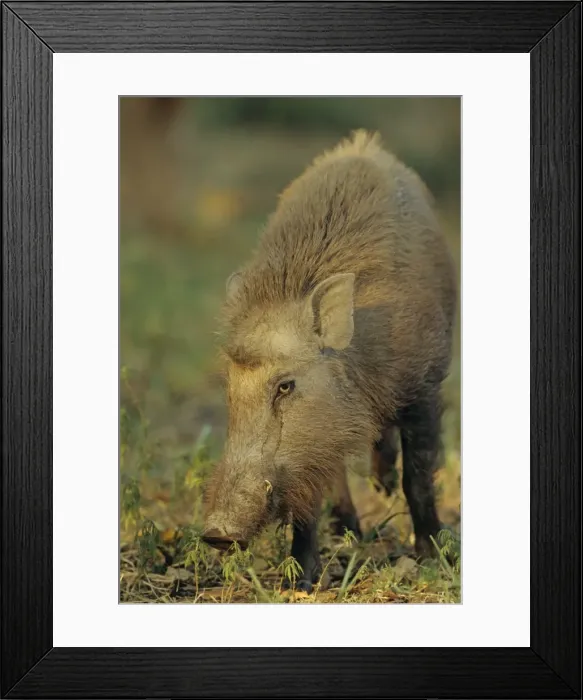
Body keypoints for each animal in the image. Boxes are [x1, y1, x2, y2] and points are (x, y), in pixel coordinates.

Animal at [203, 130, 457, 592]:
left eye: (286, 385)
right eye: (229, 388)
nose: (217, 532)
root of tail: (363, 143)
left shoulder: (425, 386)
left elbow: (418, 476)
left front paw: (432, 558)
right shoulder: (314, 444)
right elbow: (311, 495)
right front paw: (302, 583)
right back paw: (348, 532)